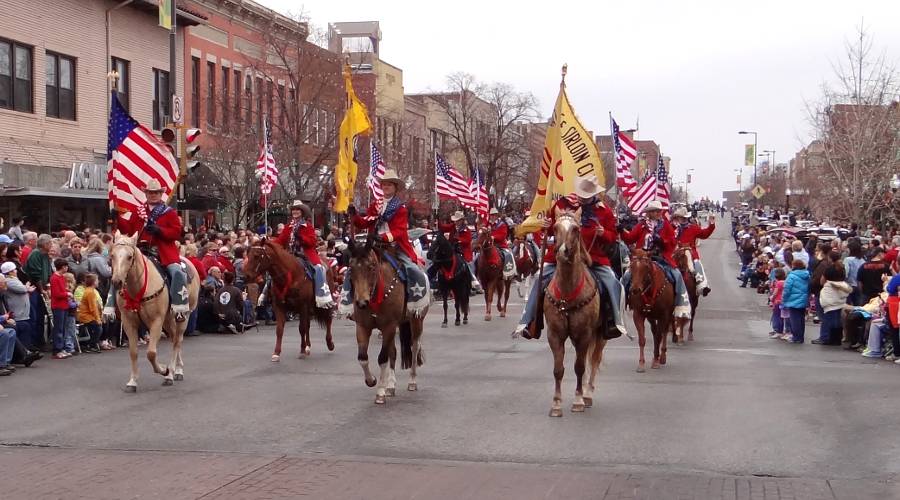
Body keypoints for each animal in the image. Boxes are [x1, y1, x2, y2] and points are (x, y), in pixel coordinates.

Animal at [109, 232, 199, 392]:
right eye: (112, 255)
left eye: (129, 257)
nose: (117, 282)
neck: (138, 288)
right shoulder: (128, 322)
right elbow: (133, 352)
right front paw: (133, 381)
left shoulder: (156, 321)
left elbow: (151, 353)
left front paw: (164, 370)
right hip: (168, 320)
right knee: (174, 339)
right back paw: (176, 370)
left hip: (183, 316)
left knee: (177, 341)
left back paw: (173, 373)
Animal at [346, 235, 428, 406]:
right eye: (351, 268)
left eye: (371, 267)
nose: (361, 303)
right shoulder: (362, 327)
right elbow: (363, 358)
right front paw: (372, 380)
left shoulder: (389, 326)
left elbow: (382, 358)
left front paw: (380, 393)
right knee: (394, 352)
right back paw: (391, 385)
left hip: (416, 321)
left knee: (414, 347)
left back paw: (412, 381)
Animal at [540, 213, 604, 416]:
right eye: (555, 227)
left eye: (576, 229)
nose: (562, 251)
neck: (567, 293)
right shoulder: (555, 335)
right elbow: (558, 369)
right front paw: (556, 404)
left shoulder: (584, 335)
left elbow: (580, 367)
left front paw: (578, 401)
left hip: (600, 335)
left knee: (594, 361)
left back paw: (587, 394)